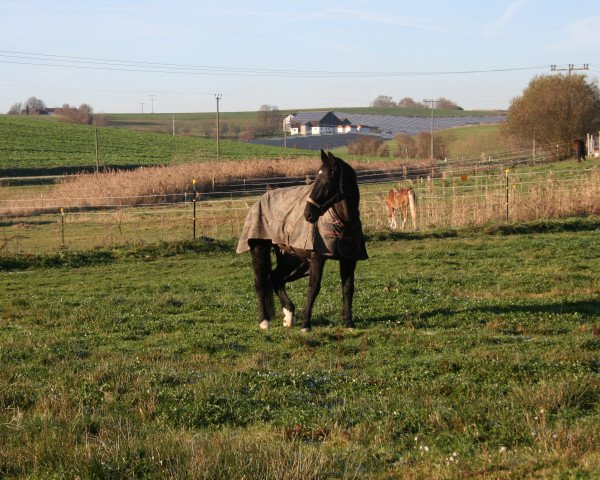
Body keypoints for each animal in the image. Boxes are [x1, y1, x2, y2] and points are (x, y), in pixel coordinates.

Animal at [237, 150, 368, 330]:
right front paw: (306, 324)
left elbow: (348, 288)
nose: (308, 214)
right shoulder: (318, 258)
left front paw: (349, 322)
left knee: (276, 279)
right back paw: (264, 321)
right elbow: (313, 288)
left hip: (293, 259)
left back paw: (289, 315)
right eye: (315, 180)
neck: (342, 224)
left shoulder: (349, 259)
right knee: (261, 283)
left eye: (327, 181)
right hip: (260, 250)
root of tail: (260, 199)